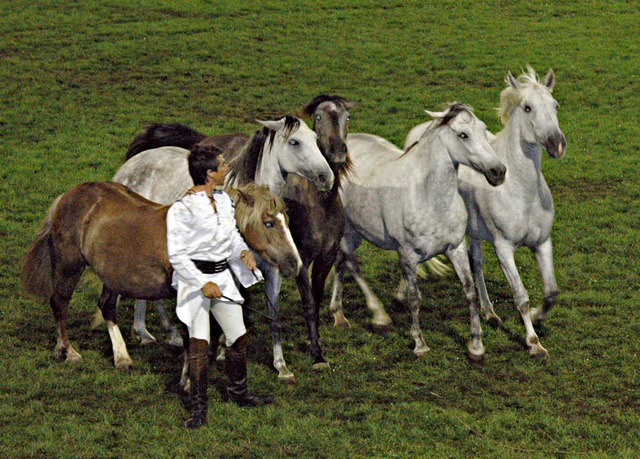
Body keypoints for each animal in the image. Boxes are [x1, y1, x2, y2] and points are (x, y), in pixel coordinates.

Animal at [20, 181, 300, 370]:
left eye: (287, 220)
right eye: (268, 222)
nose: (294, 263)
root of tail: (67, 196)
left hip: (112, 275)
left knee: (106, 306)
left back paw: (122, 357)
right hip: (70, 266)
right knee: (59, 302)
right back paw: (67, 351)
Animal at [330, 102, 504, 362]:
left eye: (484, 130)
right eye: (462, 135)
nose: (498, 172)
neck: (429, 196)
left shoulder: (456, 248)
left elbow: (470, 291)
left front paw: (476, 346)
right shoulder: (408, 255)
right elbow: (414, 297)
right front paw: (419, 343)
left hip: (354, 231)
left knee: (342, 263)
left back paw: (338, 314)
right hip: (347, 231)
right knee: (351, 264)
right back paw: (379, 317)